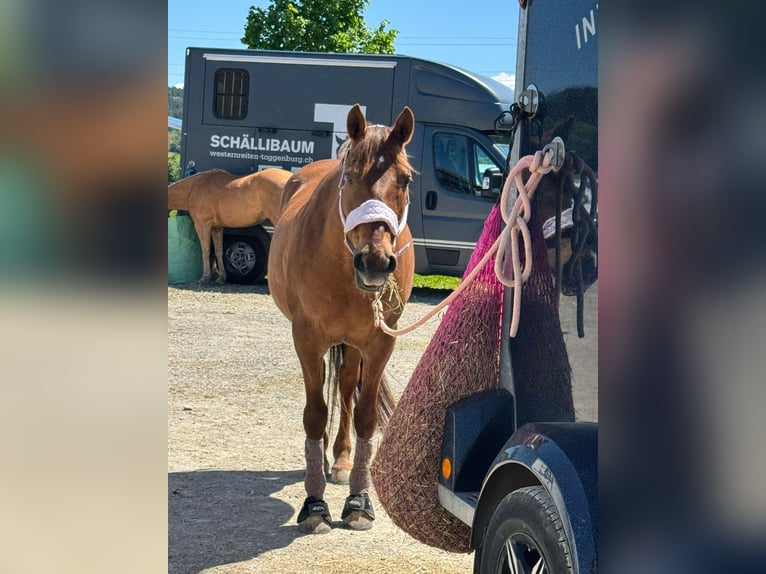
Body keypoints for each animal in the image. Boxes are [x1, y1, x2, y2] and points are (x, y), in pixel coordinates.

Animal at [268, 104, 415, 534]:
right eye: (349, 177)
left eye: (405, 179)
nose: (375, 263)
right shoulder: (307, 339)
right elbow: (315, 414)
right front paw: (315, 504)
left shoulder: (381, 341)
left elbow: (365, 416)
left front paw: (358, 501)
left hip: (353, 343)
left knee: (348, 387)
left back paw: (343, 458)